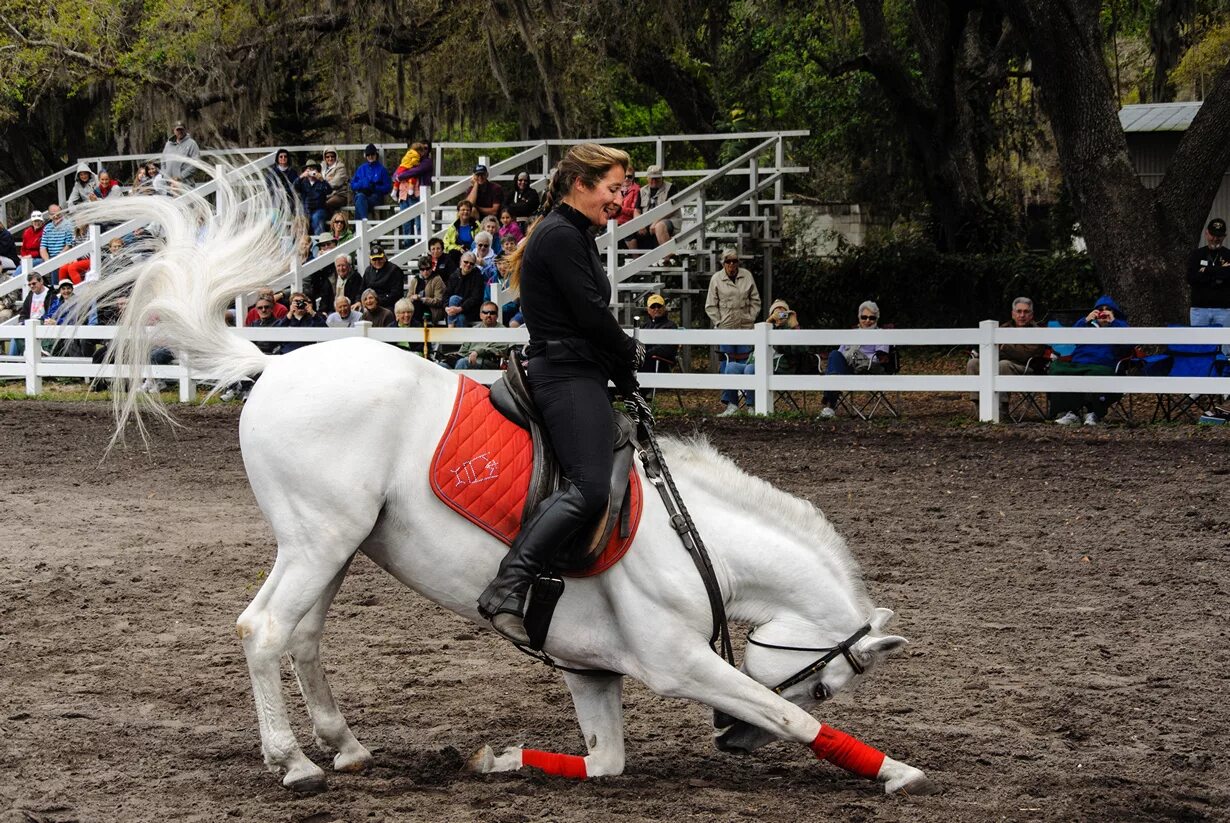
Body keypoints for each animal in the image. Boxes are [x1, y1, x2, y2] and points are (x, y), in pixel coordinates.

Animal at [74, 164, 929, 797]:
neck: (698, 540)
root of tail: (275, 367)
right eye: (826, 685)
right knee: (263, 629)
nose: (732, 743)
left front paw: (501, 758)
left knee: (303, 635)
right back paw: (293, 762)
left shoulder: (591, 669)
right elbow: (787, 718)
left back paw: (345, 745)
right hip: (320, 539)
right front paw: (891, 768)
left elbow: (604, 760)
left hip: (332, 544)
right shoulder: (676, 660)